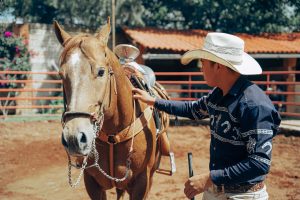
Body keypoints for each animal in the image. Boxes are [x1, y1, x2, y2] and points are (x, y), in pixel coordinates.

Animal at [53, 18, 170, 199]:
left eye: (101, 72)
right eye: (61, 75)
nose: (74, 137)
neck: (114, 135)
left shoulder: (142, 183)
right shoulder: (92, 182)